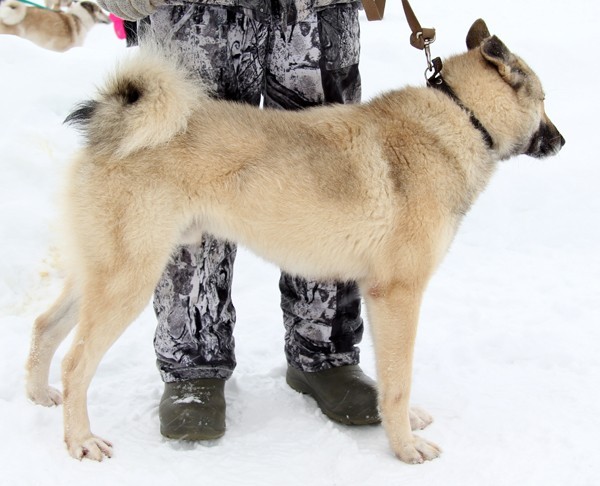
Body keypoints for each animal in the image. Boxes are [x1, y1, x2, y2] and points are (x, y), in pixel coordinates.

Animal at [24, 19, 565, 463]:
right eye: (543, 101)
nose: (561, 142)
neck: (461, 116)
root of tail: (111, 125)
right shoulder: (398, 295)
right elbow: (397, 382)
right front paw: (405, 446)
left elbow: (388, 376)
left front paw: (404, 424)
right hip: (130, 281)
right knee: (75, 363)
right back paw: (80, 441)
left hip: (100, 274)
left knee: (44, 327)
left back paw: (38, 395)